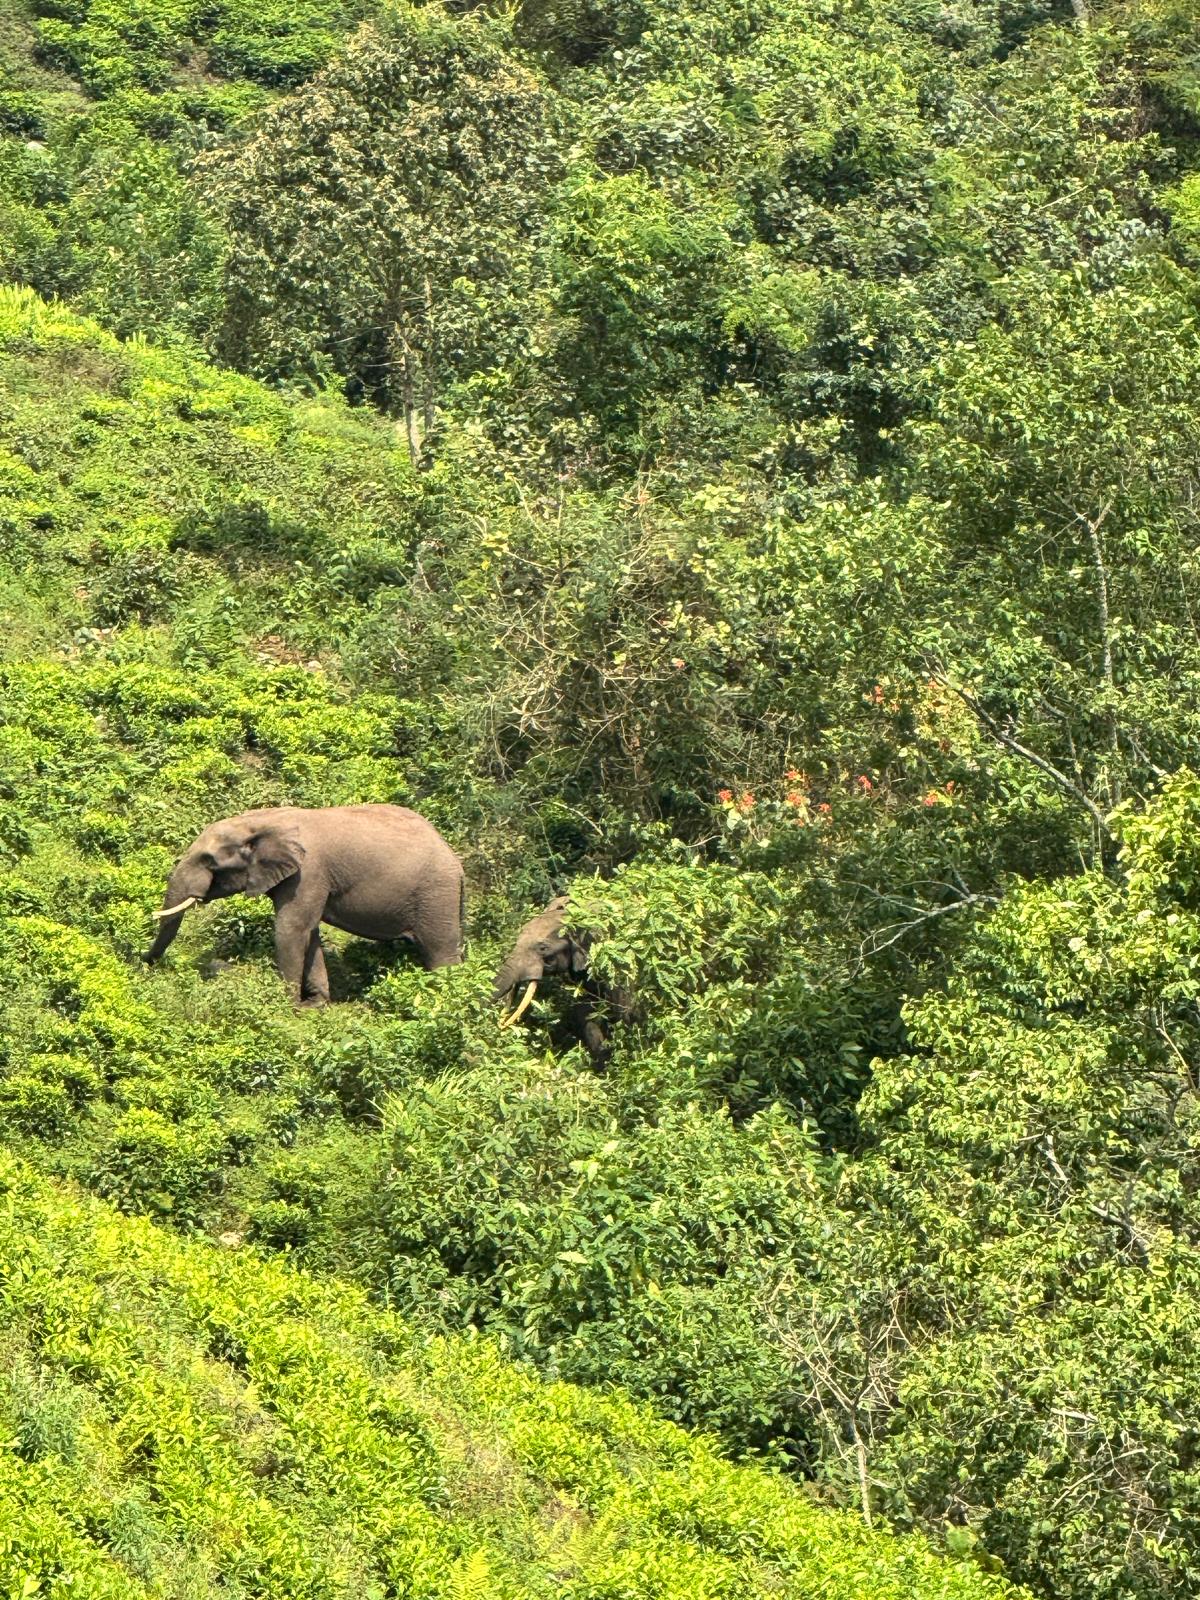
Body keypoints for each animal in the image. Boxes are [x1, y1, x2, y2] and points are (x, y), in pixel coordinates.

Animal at [145, 804, 464, 1005]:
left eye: (208, 860)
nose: (143, 962)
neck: (262, 820)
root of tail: (458, 866)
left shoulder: (309, 872)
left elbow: (291, 929)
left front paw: (285, 1007)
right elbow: (309, 933)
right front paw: (315, 1005)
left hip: (437, 895)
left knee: (441, 953)